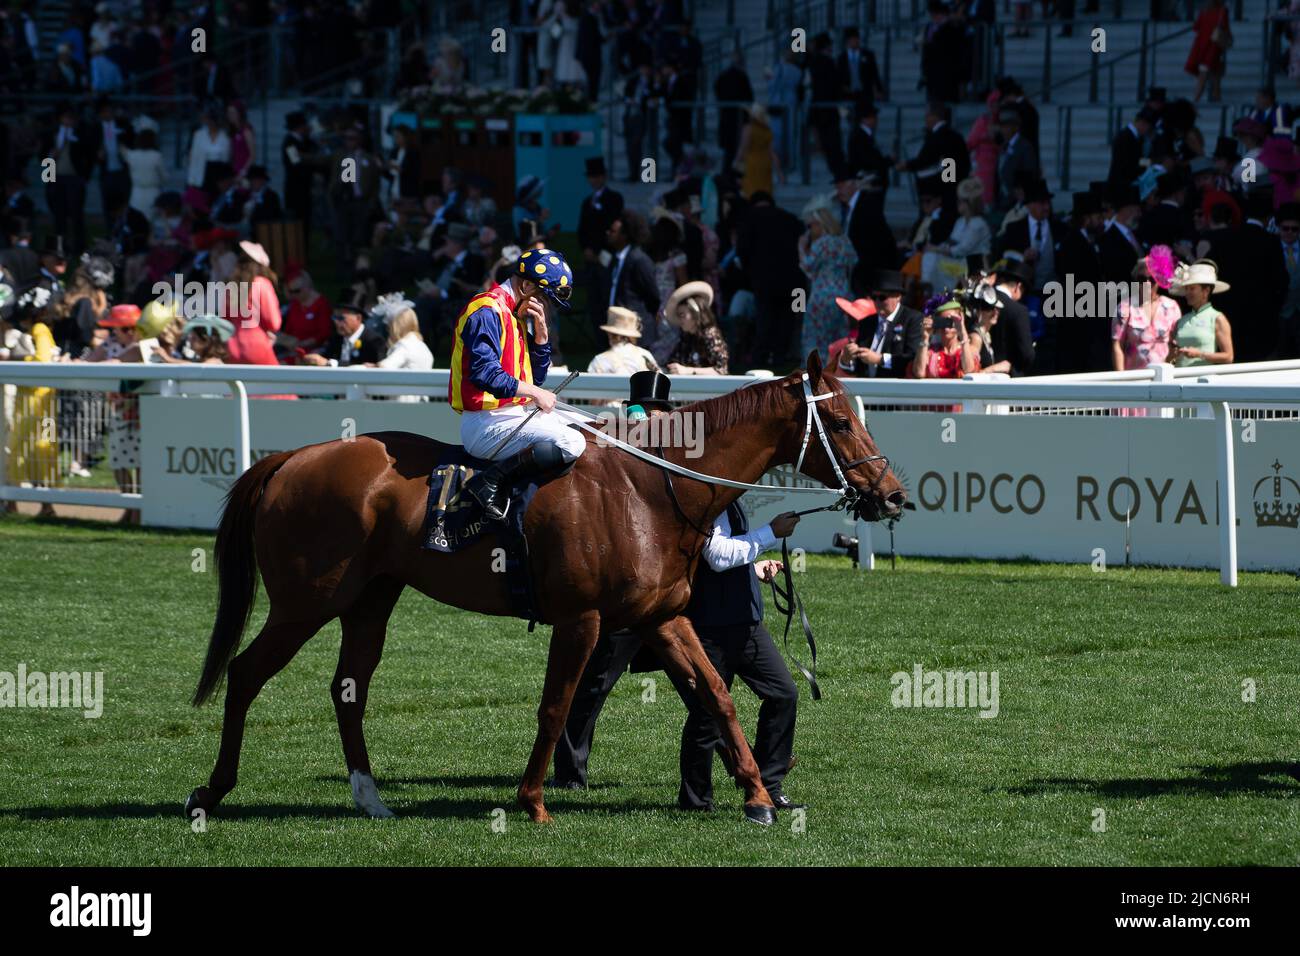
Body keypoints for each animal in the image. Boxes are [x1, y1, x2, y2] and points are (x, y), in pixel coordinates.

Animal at [184, 350, 906, 825]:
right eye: (841, 422)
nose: (893, 494)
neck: (653, 487)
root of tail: (290, 460)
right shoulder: (580, 618)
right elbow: (557, 707)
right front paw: (532, 801)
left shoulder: (663, 618)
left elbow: (719, 697)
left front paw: (758, 796)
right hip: (307, 602)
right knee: (245, 673)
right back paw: (210, 791)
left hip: (370, 602)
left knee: (348, 690)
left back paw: (371, 798)